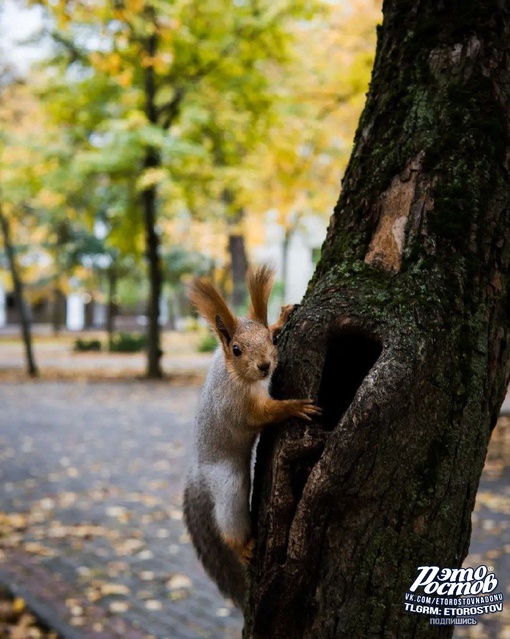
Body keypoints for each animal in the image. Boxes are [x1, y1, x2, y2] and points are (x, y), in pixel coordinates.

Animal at [182, 266, 318, 608]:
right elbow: (262, 415)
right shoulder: (238, 407)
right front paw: (294, 406)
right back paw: (242, 546)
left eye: (268, 338)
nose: (265, 365)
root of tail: (198, 477)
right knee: (228, 524)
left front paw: (282, 317)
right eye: (236, 350)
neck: (233, 373)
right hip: (229, 485)